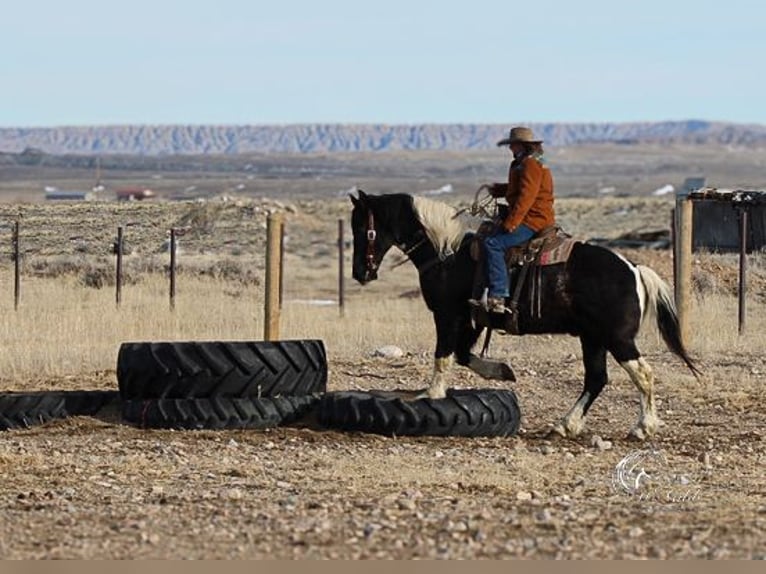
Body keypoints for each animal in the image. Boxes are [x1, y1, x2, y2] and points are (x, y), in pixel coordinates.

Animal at [352, 190, 704, 440]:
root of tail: (633, 269)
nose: (360, 273)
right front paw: (503, 371)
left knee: (642, 374)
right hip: (592, 338)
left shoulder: (448, 315)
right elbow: (464, 355)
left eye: (362, 228)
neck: (447, 253)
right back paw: (566, 425)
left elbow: (444, 355)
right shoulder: (473, 320)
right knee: (596, 378)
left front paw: (433, 393)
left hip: (617, 338)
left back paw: (643, 427)